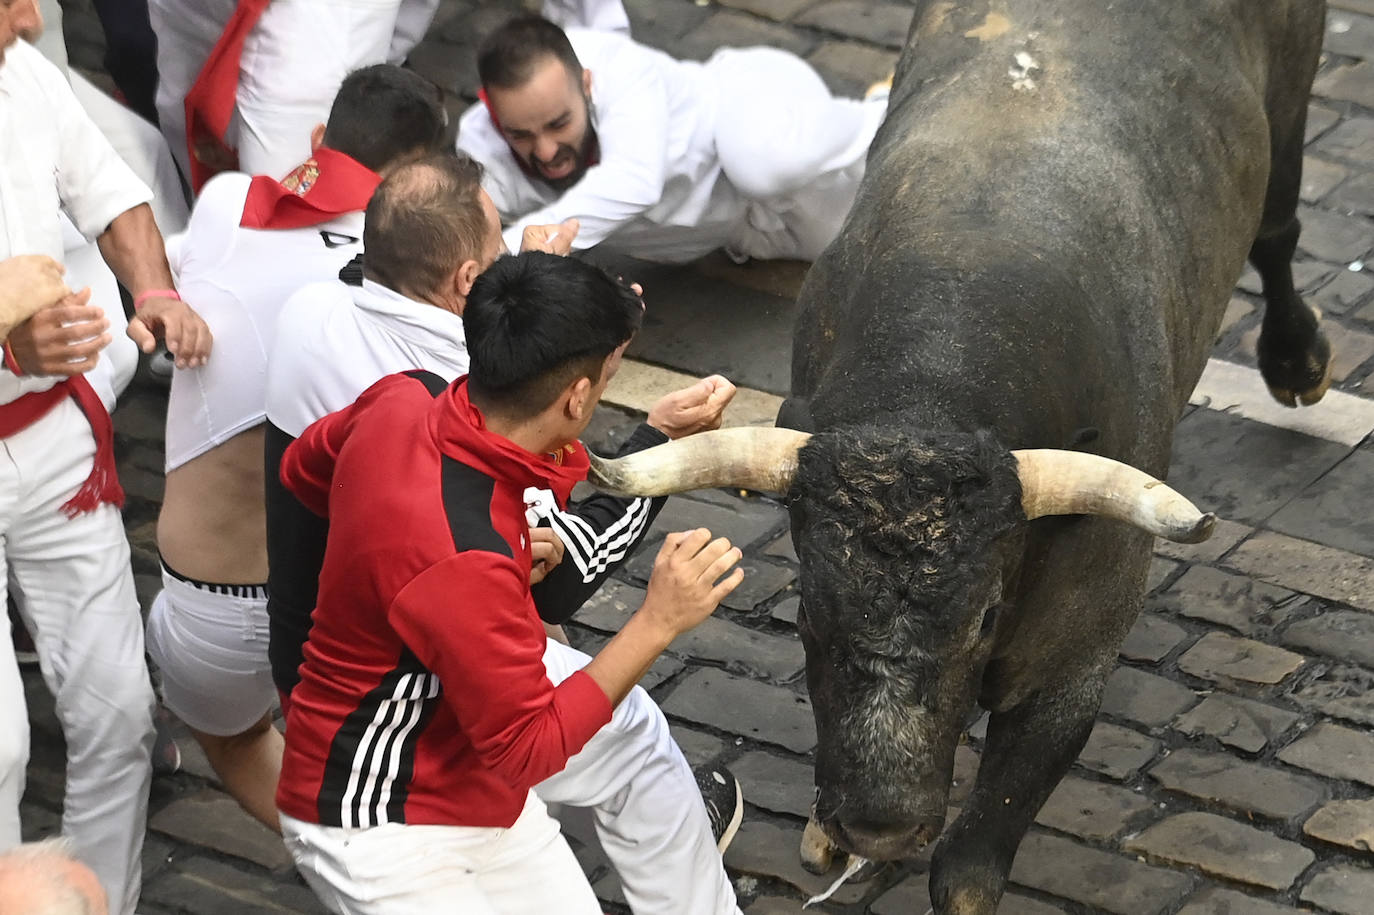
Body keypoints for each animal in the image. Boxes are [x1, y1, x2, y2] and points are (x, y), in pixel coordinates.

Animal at [588, 0, 1330, 906]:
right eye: (809, 611)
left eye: (984, 616)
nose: (879, 824)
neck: (934, 385)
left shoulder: (1071, 662)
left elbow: (969, 867)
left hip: (1292, 99)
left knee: (1280, 227)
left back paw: (1297, 360)